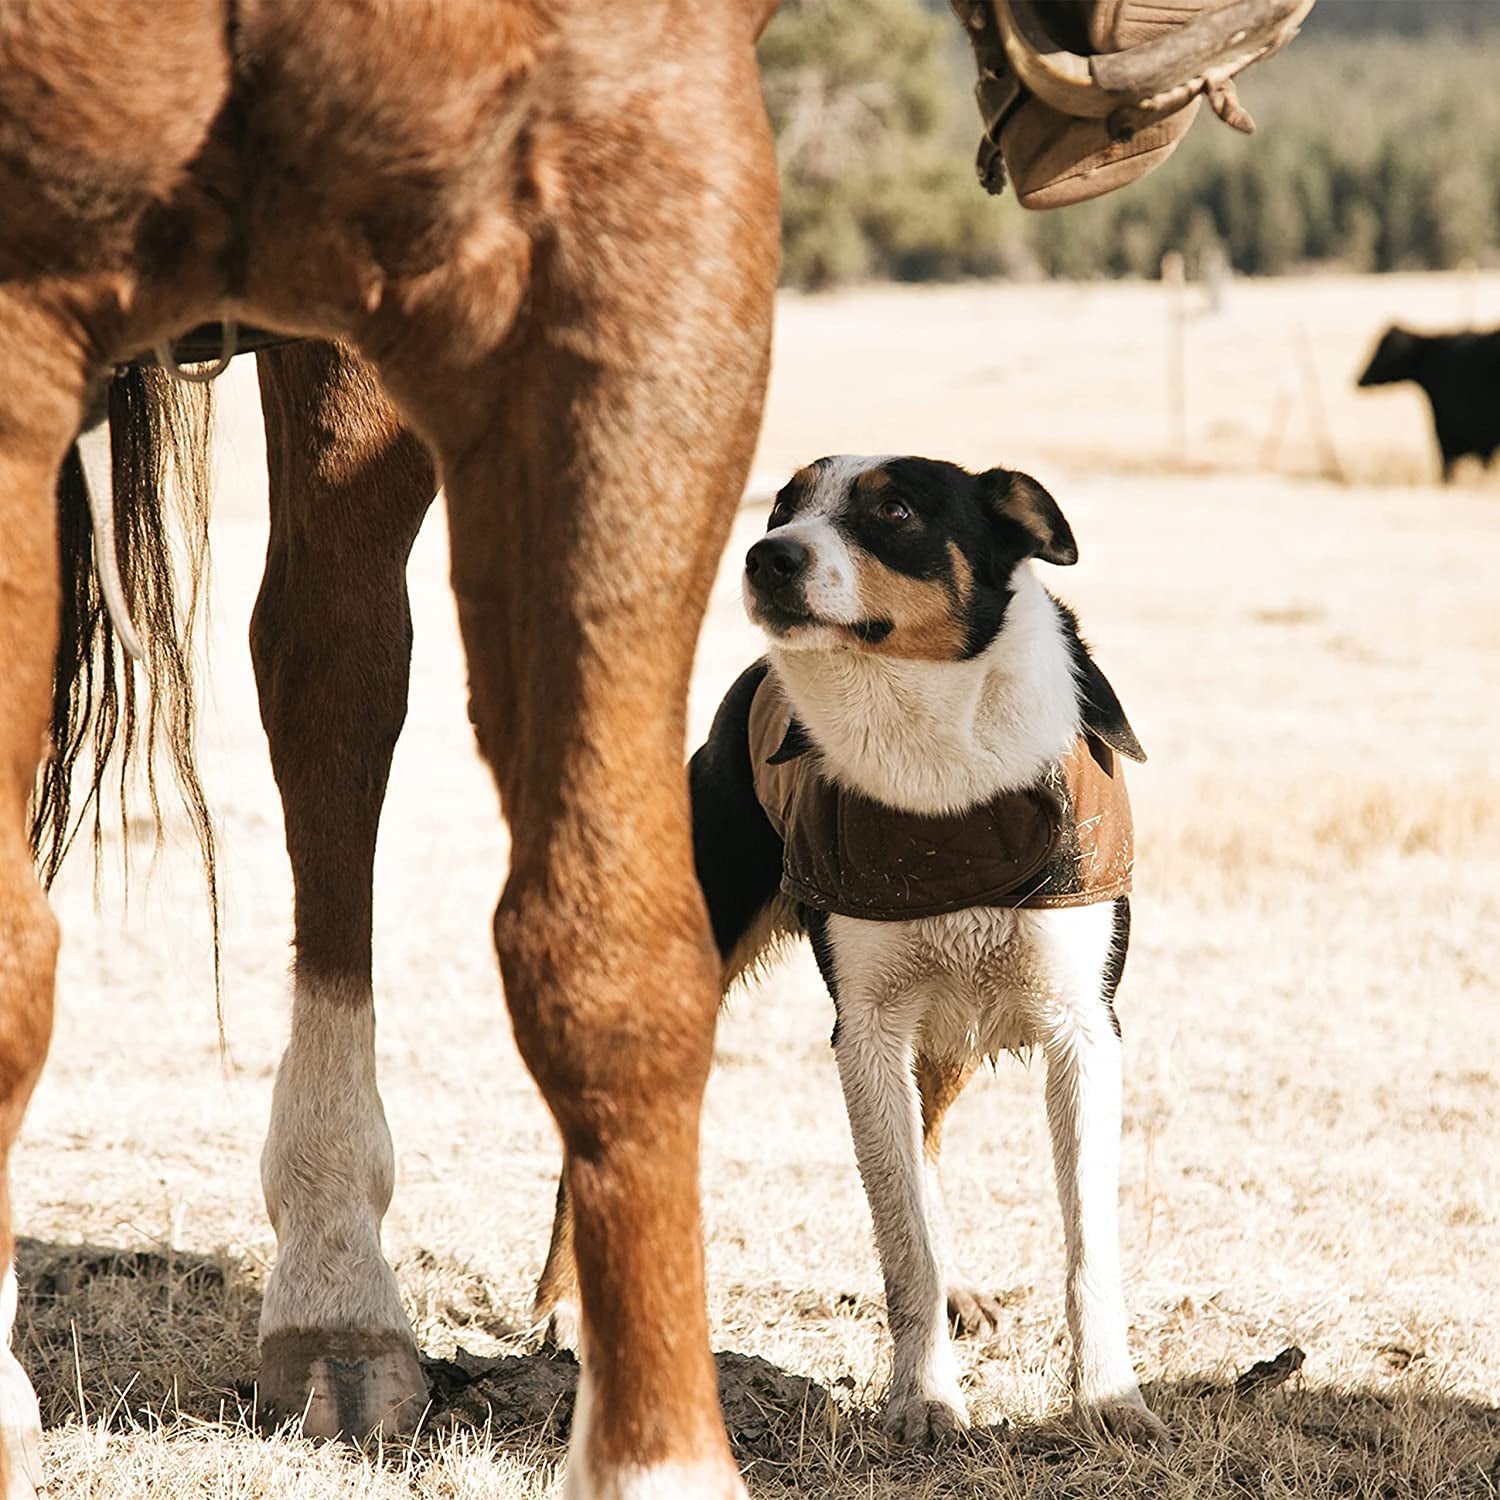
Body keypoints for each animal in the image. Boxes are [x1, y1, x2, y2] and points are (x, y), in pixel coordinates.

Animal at [693, 453, 1170, 1440]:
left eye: (898, 510)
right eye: (784, 505)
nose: (766, 556)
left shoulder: (1083, 1028)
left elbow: (1087, 1241)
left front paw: (1110, 1397)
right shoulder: (867, 1030)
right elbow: (901, 1235)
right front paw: (925, 1399)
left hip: (947, 1034)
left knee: (934, 1145)